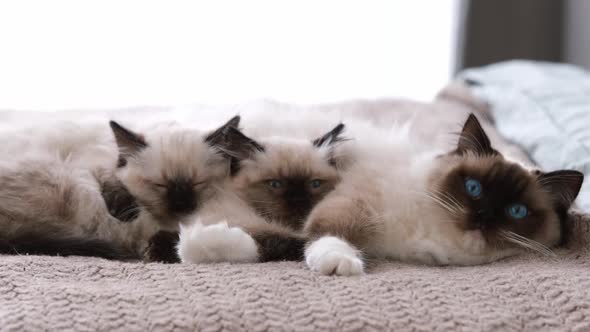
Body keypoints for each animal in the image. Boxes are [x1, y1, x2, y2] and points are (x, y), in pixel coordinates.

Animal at [306, 113, 588, 274]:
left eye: (516, 211)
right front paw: (340, 263)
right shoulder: (355, 203)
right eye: (473, 187)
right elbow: (332, 233)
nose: (483, 216)